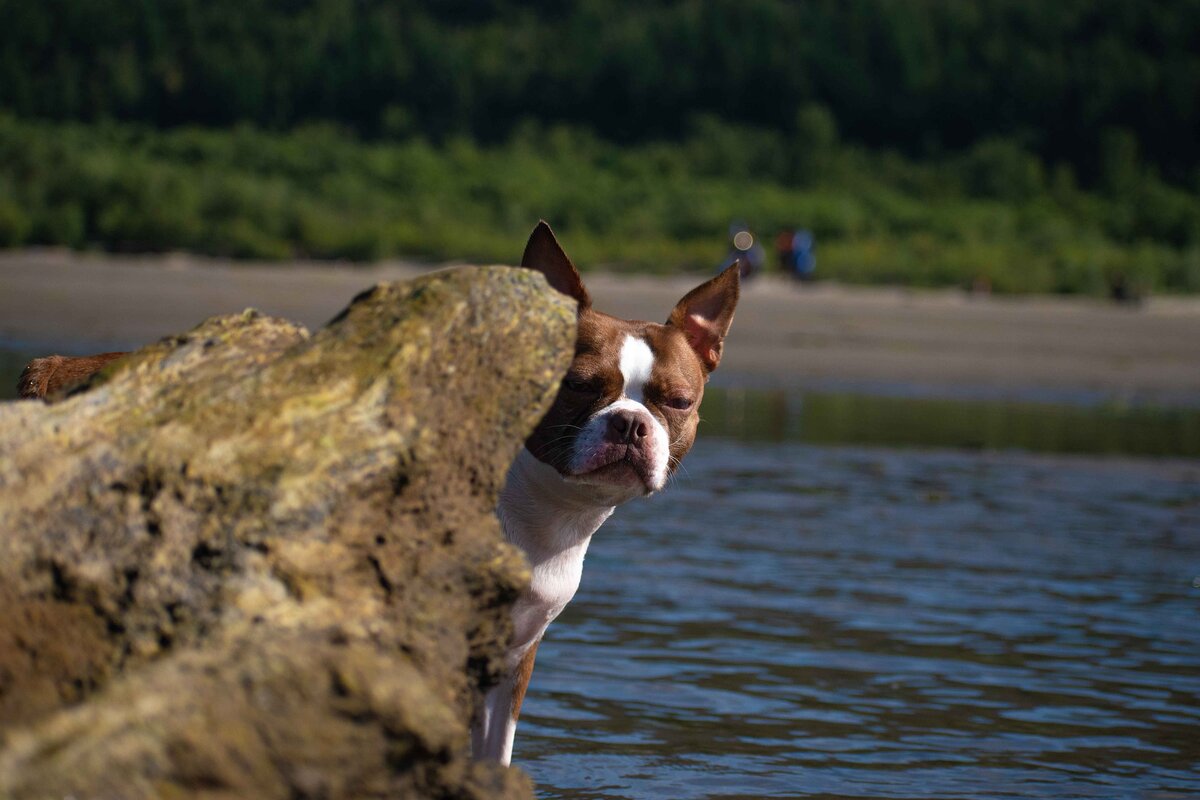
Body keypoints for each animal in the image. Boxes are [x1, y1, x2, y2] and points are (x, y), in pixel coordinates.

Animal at [472, 224, 734, 762]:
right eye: (576, 384)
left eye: (679, 402)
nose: (630, 423)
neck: (552, 513)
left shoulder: (514, 658)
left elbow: (494, 755)